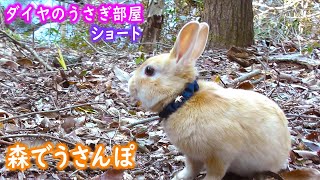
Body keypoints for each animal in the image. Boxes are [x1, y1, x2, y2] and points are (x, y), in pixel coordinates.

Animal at [127, 21, 290, 180]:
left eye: (149, 71)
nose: (130, 85)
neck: (181, 100)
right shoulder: (192, 155)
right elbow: (191, 168)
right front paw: (180, 176)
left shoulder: (219, 155)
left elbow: (215, 173)